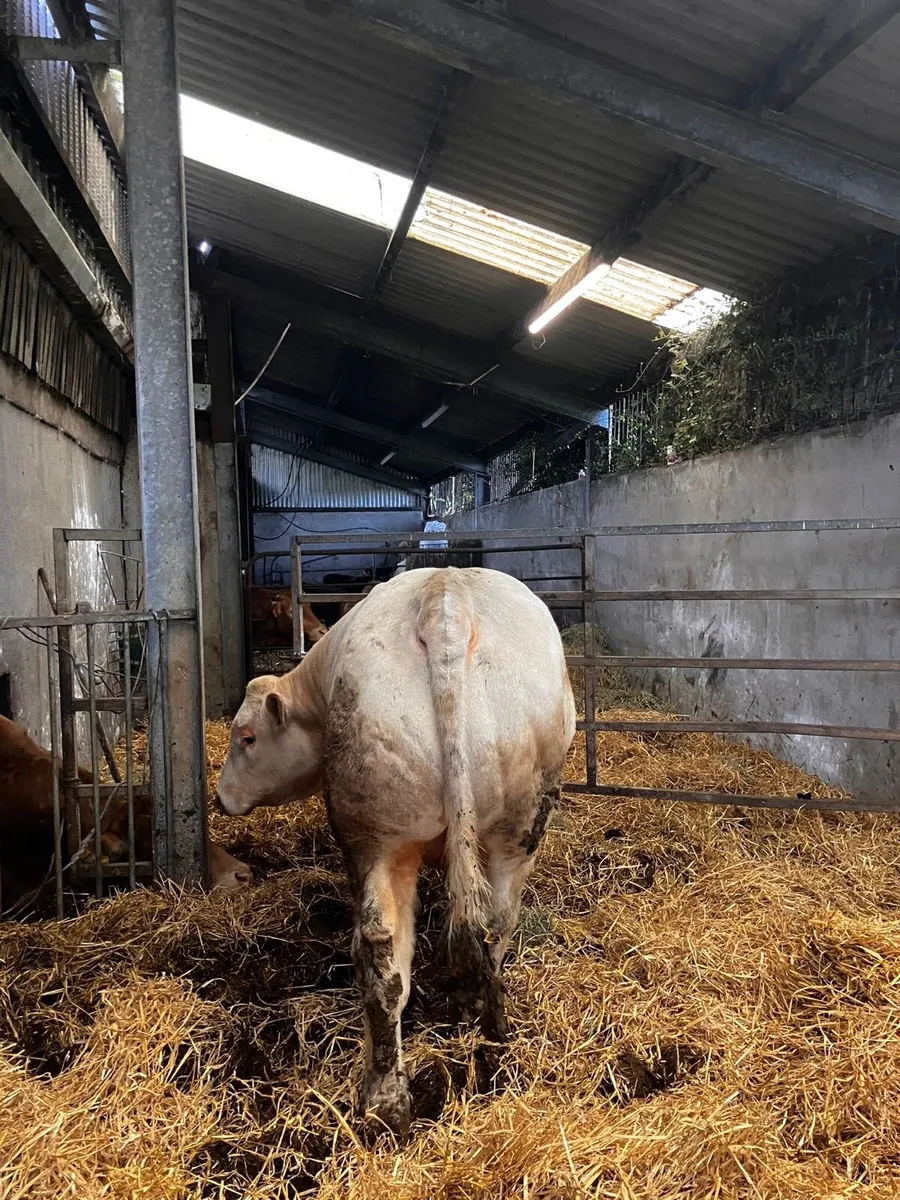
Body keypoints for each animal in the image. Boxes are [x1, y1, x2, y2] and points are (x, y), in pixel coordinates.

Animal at [217, 567, 576, 1136]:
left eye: (247, 737)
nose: (220, 798)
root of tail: (445, 604)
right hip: (514, 829)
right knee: (491, 926)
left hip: (375, 836)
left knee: (382, 953)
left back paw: (384, 1095)